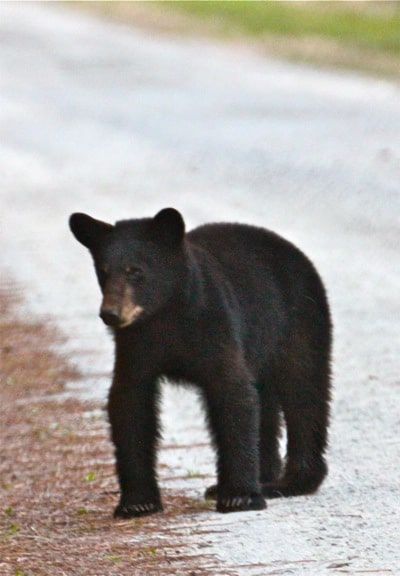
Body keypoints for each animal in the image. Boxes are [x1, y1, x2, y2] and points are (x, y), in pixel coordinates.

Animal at [69, 208, 332, 516]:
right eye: (103, 271)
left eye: (135, 271)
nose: (110, 313)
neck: (166, 316)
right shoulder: (135, 347)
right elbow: (129, 403)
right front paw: (137, 502)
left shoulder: (215, 325)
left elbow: (233, 393)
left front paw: (239, 496)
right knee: (266, 404)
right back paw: (261, 478)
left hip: (297, 321)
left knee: (304, 391)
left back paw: (292, 482)